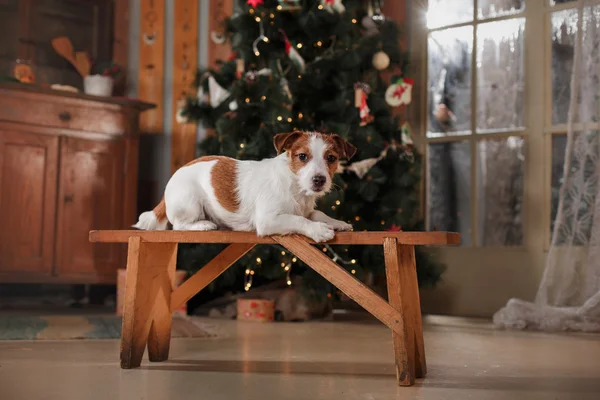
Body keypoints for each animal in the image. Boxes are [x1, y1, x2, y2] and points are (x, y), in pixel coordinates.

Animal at [132, 132, 356, 244]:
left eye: (331, 158)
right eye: (302, 156)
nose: (319, 180)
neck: (295, 187)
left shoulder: (306, 209)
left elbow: (317, 214)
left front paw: (336, 222)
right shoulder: (267, 220)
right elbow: (298, 220)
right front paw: (318, 230)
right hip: (190, 203)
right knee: (179, 225)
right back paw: (203, 225)